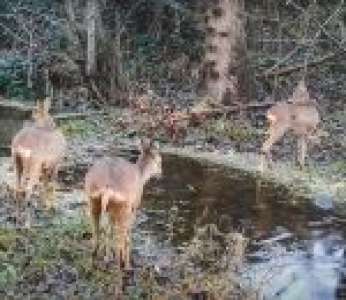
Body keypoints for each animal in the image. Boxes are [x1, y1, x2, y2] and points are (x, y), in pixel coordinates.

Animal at [11, 98, 66, 227]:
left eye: (33, 114)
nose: (27, 120)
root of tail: (21, 144)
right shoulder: (56, 163)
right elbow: (52, 184)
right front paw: (52, 206)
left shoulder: (45, 166)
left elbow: (44, 184)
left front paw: (45, 205)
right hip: (33, 165)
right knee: (27, 190)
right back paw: (27, 224)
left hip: (17, 163)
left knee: (17, 189)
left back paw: (17, 219)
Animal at [86, 139, 163, 270]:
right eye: (159, 160)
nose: (160, 173)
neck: (140, 175)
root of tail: (107, 186)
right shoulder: (134, 207)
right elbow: (128, 232)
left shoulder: (111, 211)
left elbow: (109, 230)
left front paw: (107, 257)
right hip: (123, 207)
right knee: (120, 237)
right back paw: (123, 265)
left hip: (93, 200)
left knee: (97, 232)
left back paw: (97, 259)